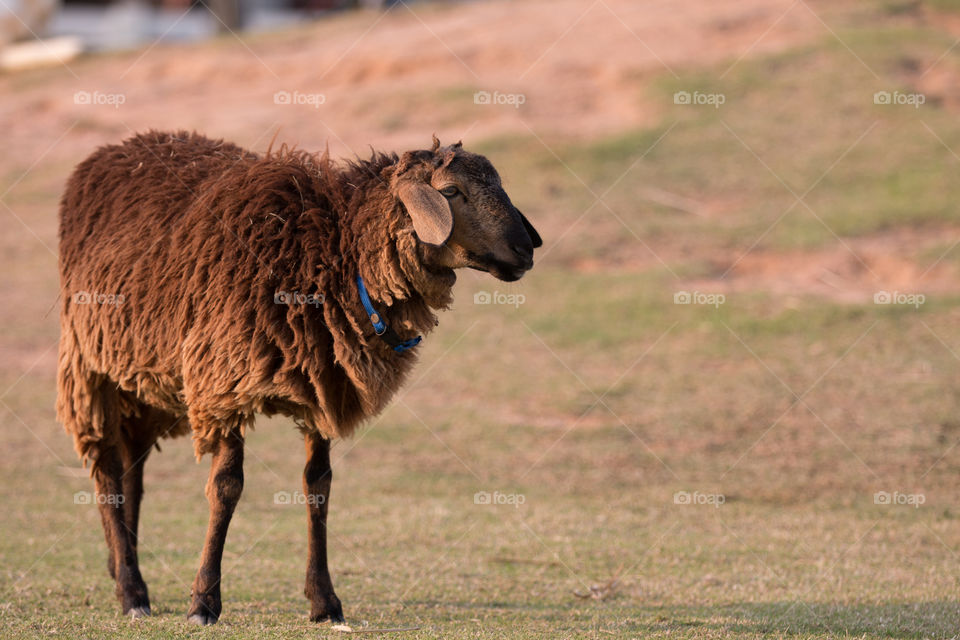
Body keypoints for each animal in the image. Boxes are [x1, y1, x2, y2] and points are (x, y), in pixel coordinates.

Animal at [58, 130, 540, 624]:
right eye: (451, 192)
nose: (526, 249)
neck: (333, 253)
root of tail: (120, 146)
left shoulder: (325, 379)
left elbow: (318, 486)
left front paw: (324, 601)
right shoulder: (224, 380)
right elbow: (227, 488)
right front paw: (204, 601)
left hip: (141, 379)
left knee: (132, 474)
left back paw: (123, 570)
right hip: (91, 365)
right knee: (107, 468)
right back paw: (132, 590)